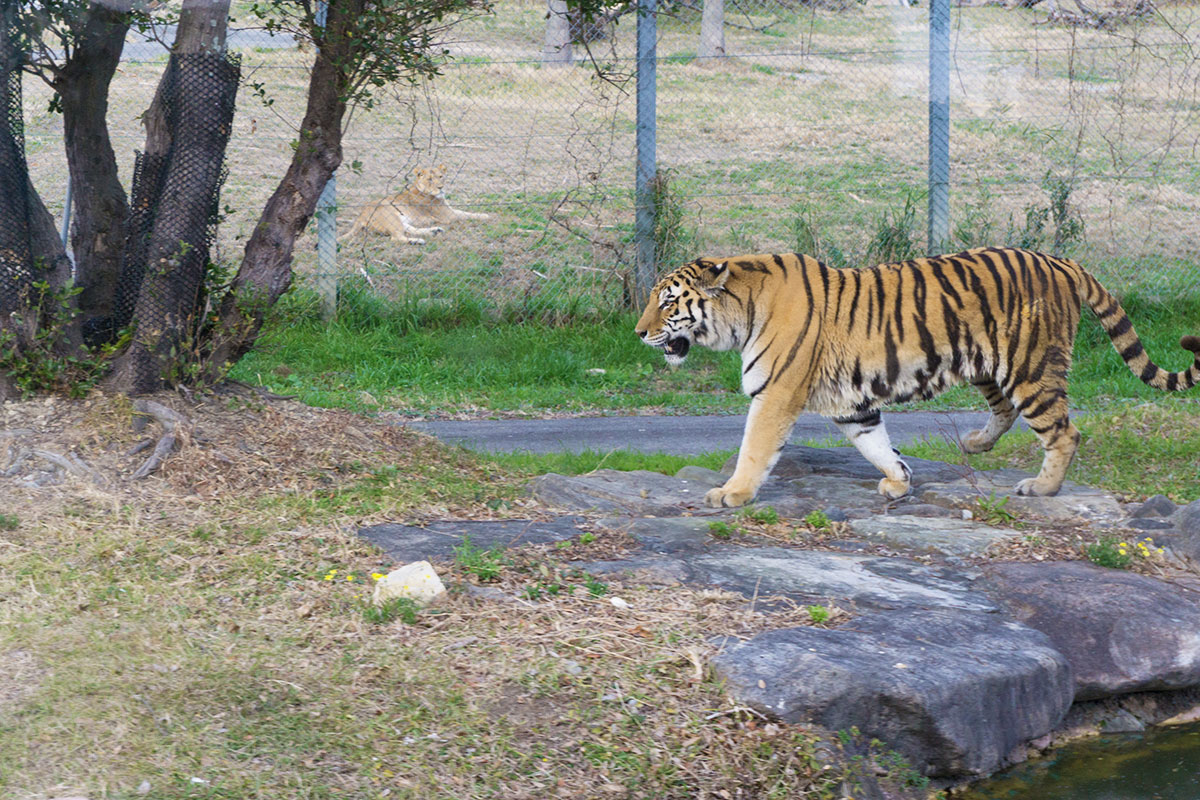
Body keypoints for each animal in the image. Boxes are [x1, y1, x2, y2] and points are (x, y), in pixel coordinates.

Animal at [340, 164, 489, 245]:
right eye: (430, 179)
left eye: (441, 176)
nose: (441, 187)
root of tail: (360, 215)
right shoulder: (448, 216)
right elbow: (467, 214)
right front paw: (487, 215)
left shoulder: (449, 212)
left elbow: (467, 212)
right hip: (390, 216)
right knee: (396, 238)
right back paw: (417, 241)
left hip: (400, 219)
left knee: (410, 230)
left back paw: (434, 231)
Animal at [638, 247, 1200, 506]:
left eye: (667, 302)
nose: (639, 332)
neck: (741, 312)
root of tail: (1059, 260)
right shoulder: (853, 405)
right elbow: (876, 444)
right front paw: (899, 481)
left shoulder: (775, 394)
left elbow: (754, 449)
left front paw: (731, 494)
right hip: (988, 365)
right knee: (1004, 411)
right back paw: (975, 444)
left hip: (1030, 366)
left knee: (1064, 431)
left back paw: (1041, 488)